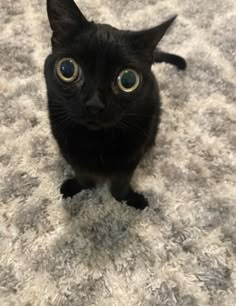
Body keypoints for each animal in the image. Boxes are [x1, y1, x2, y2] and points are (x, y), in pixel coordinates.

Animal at [43, 0, 186, 210]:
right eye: (67, 69)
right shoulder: (70, 153)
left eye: (128, 80)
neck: (96, 141)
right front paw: (75, 188)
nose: (94, 104)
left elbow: (118, 187)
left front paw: (132, 201)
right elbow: (85, 178)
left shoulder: (129, 162)